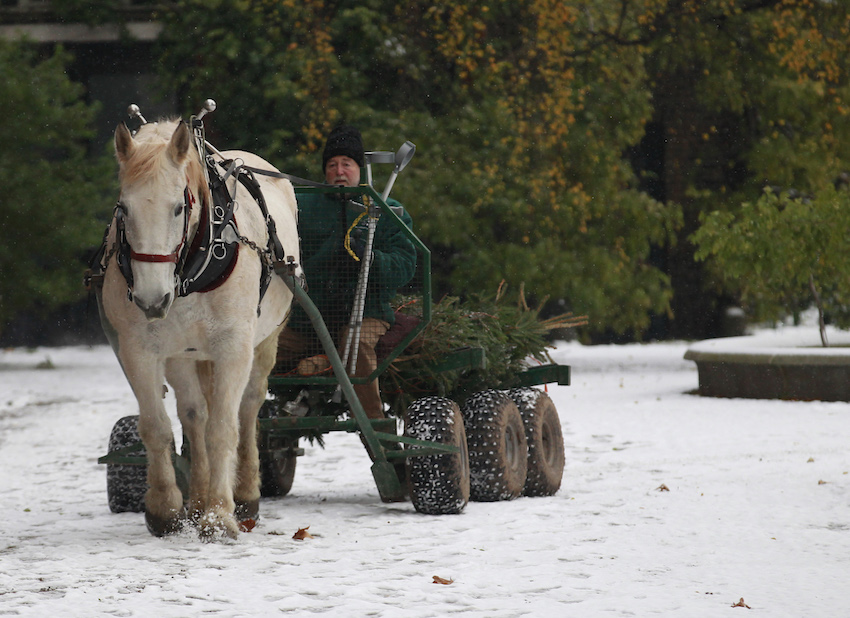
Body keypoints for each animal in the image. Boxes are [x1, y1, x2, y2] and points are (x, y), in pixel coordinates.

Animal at [103, 118, 298, 536]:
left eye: (179, 206)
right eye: (123, 209)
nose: (151, 299)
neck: (190, 272)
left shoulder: (233, 346)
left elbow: (224, 428)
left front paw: (220, 514)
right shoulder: (138, 348)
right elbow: (157, 426)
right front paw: (165, 509)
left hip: (265, 341)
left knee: (248, 407)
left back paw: (245, 493)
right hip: (183, 353)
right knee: (194, 414)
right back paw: (196, 499)